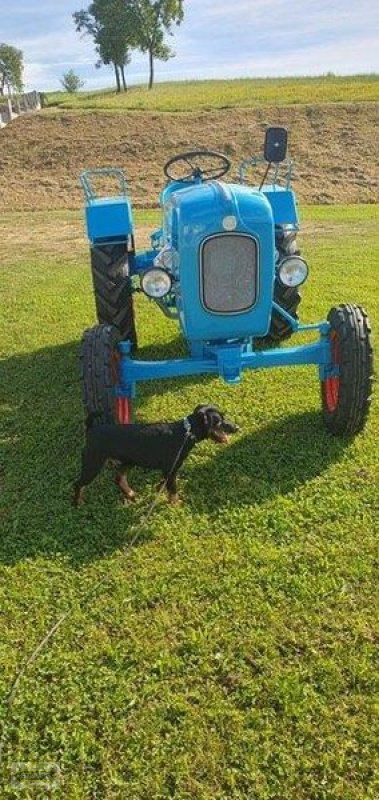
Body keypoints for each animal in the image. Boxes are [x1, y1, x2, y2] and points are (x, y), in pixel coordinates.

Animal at [73, 406, 240, 506]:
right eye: (219, 422)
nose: (237, 427)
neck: (186, 433)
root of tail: (90, 430)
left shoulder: (168, 472)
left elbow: (165, 485)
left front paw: (159, 489)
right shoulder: (171, 471)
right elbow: (173, 490)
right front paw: (176, 505)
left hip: (129, 461)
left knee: (118, 478)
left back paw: (130, 494)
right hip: (93, 464)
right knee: (78, 484)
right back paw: (78, 502)